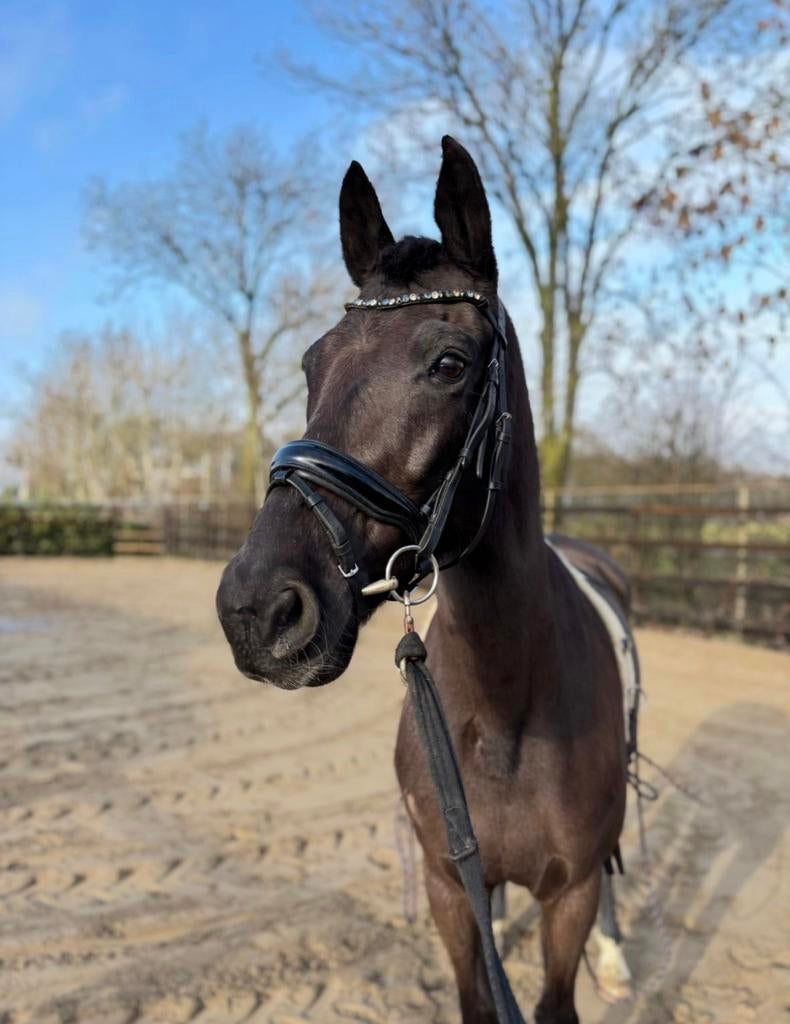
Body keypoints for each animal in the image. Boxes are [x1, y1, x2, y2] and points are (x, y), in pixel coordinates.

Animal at [217, 136, 633, 1024]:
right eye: (312, 363)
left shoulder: (571, 896)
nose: (256, 608)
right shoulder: (449, 890)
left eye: (449, 363)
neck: (510, 707)